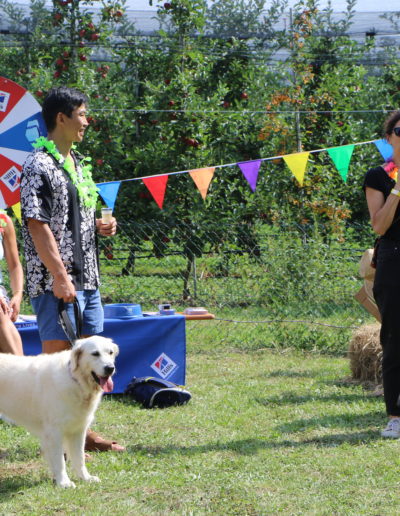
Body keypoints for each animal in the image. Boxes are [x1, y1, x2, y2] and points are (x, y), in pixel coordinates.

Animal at [0, 336, 119, 488]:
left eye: (110, 352)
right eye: (95, 354)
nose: (110, 368)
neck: (75, 380)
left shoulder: (78, 430)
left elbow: (79, 458)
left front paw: (85, 478)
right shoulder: (54, 432)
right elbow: (59, 460)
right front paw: (64, 482)